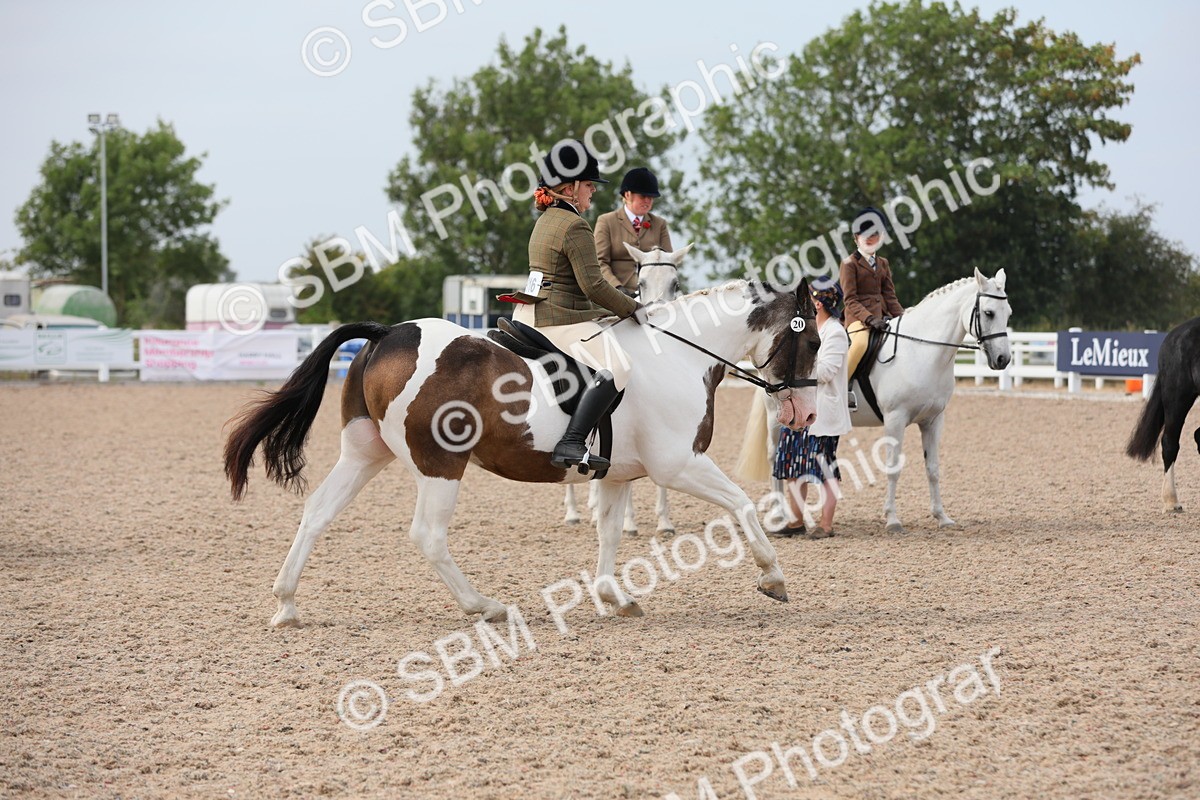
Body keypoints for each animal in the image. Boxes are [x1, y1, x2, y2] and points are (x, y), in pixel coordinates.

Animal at [224, 279, 821, 627]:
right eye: (813, 340)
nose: (806, 415)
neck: (674, 354)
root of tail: (387, 332)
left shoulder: (617, 474)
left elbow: (608, 532)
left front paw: (614, 596)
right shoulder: (680, 465)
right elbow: (740, 505)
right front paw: (773, 578)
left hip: (365, 454)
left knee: (318, 512)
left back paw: (286, 605)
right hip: (440, 463)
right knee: (428, 536)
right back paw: (485, 606)